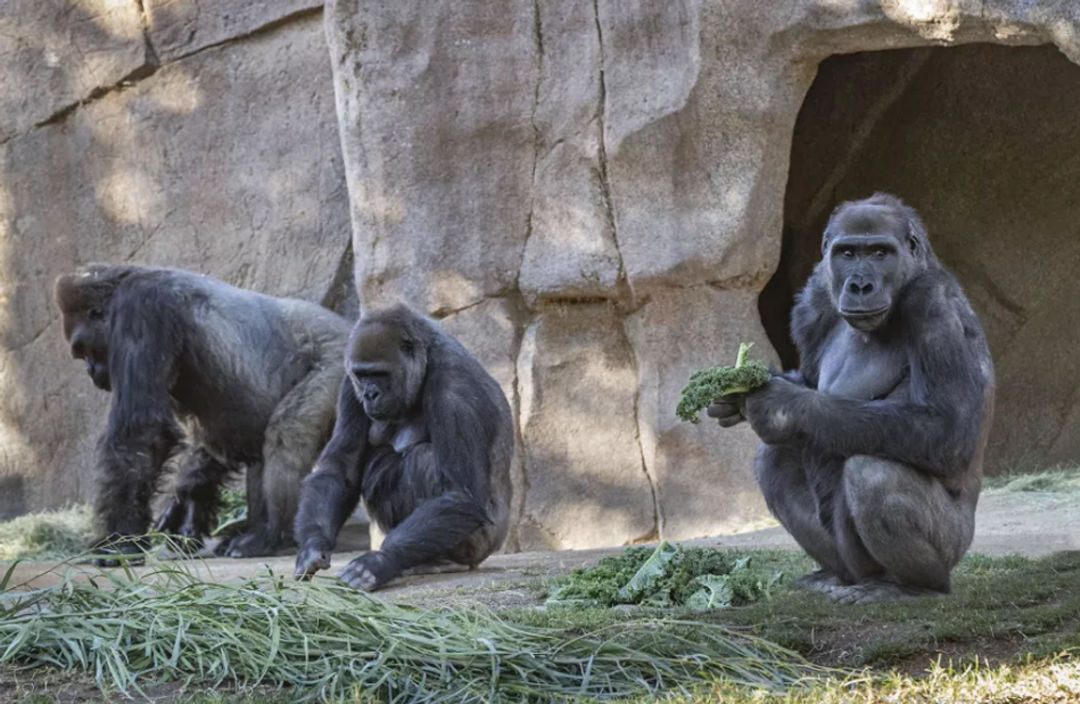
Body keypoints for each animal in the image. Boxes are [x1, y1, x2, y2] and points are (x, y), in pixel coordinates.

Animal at [55, 263, 349, 565]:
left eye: (84, 349)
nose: (91, 372)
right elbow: (217, 437)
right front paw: (186, 501)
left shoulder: (141, 307)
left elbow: (143, 431)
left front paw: (120, 540)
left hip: (338, 360)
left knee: (286, 435)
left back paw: (269, 534)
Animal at [295, 304, 514, 591]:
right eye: (362, 375)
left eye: (380, 374)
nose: (370, 395)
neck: (427, 360)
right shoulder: (349, 386)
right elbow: (340, 469)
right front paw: (312, 547)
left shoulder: (455, 389)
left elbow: (460, 494)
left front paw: (380, 561)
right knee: (382, 462)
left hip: (482, 545)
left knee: (422, 459)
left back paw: (444, 560)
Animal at [708, 194, 993, 604]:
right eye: (847, 253)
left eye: (879, 252)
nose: (860, 285)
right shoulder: (815, 301)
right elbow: (809, 380)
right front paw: (738, 393)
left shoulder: (933, 303)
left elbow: (947, 427)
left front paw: (780, 406)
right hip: (848, 562)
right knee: (775, 460)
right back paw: (833, 574)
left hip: (955, 545)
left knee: (872, 473)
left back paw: (912, 586)